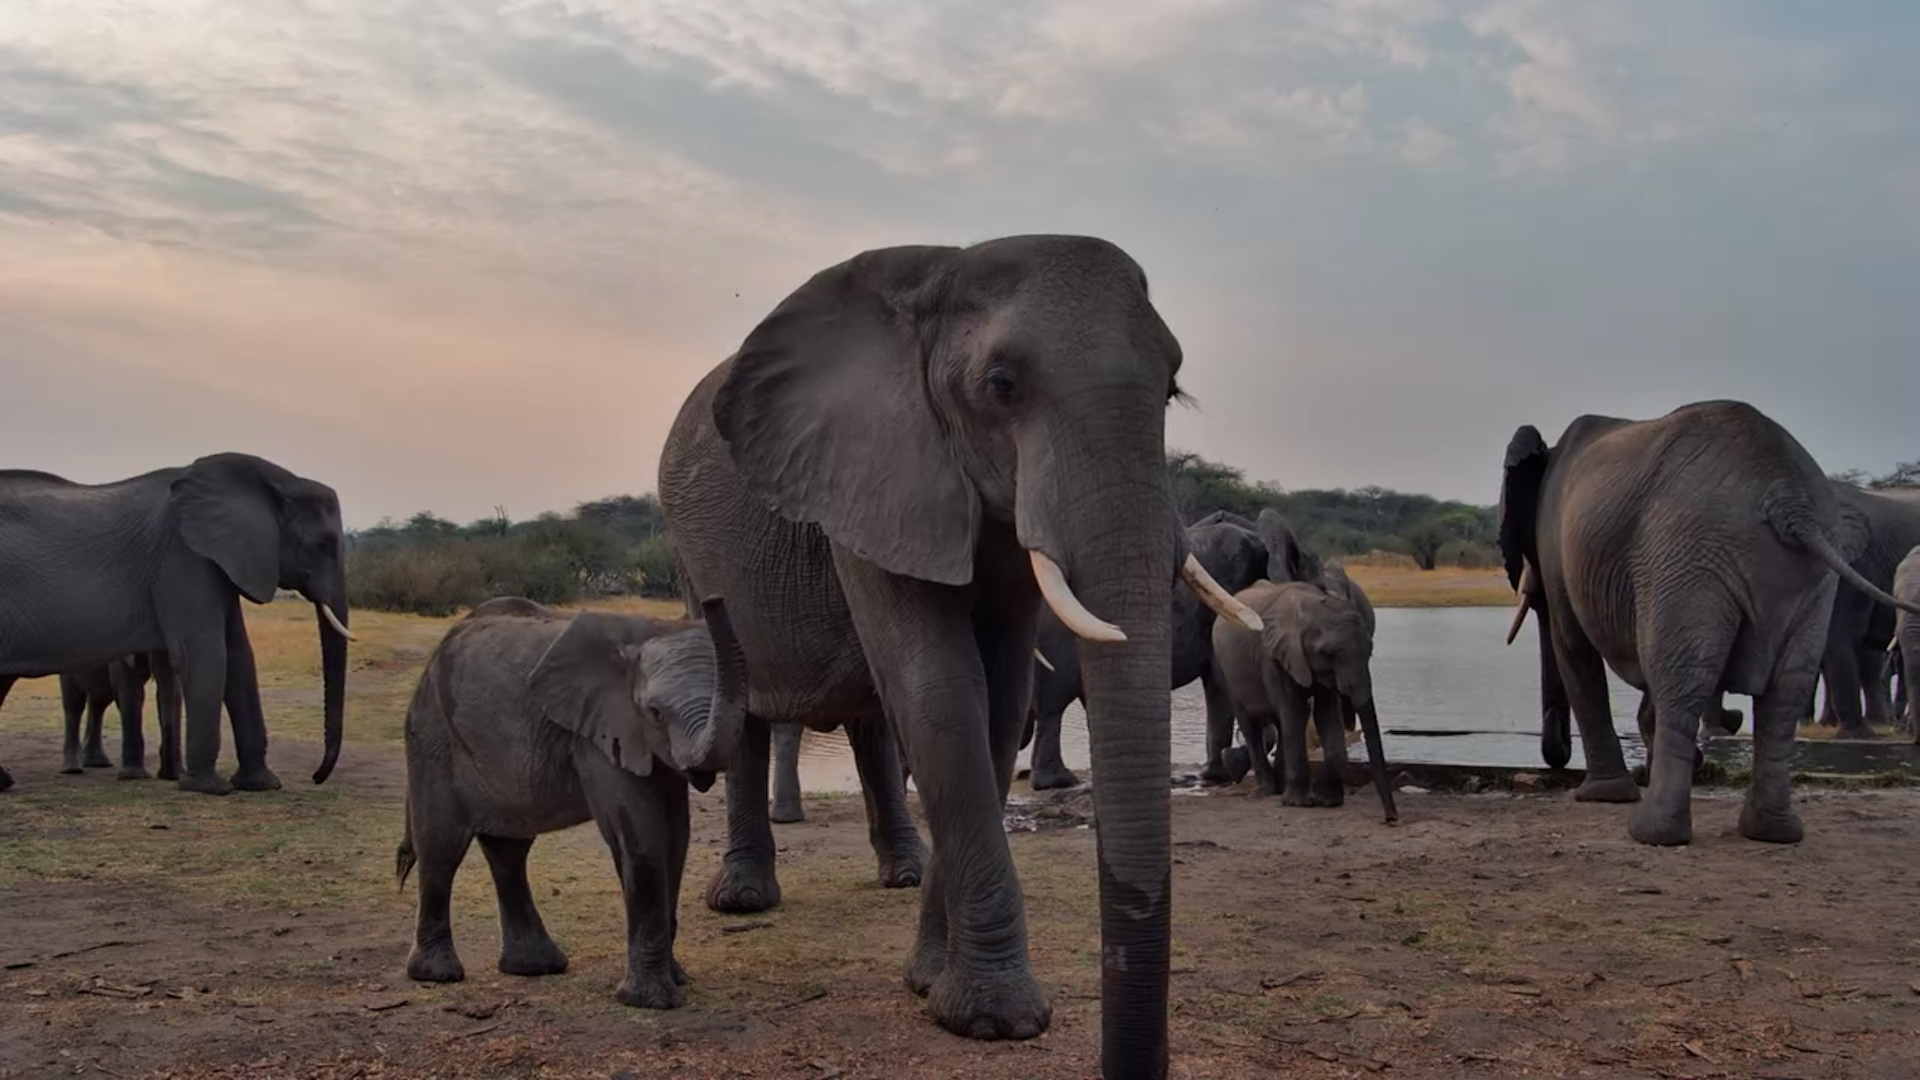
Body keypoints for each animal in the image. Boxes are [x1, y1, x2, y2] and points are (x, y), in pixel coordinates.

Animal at [0, 453, 352, 796]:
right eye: (322, 544)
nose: (316, 777)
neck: (274, 480)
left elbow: (239, 655)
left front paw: (262, 785)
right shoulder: (183, 558)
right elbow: (206, 652)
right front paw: (208, 788)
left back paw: (4, 782)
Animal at [397, 595, 746, 1008]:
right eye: (656, 713)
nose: (712, 600)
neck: (645, 634)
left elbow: (676, 839)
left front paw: (677, 980)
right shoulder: (599, 736)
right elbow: (642, 838)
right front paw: (651, 1001)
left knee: (508, 851)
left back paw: (535, 967)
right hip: (433, 738)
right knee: (441, 848)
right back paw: (438, 975)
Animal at [658, 235, 1260, 1074]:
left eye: (1171, 388)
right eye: (1002, 387)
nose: (1129, 1064)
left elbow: (997, 702)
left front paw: (928, 982)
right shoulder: (870, 477)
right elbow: (940, 691)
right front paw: (993, 1019)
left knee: (873, 721)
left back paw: (901, 874)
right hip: (692, 557)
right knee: (744, 699)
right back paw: (745, 899)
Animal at [1209, 578, 1397, 821]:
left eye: (1370, 651)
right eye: (1328, 653)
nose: (1391, 818)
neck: (1309, 604)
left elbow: (1326, 714)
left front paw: (1328, 801)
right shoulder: (1273, 656)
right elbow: (1294, 710)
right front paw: (1298, 803)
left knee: (1280, 724)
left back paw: (1280, 788)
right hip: (1225, 669)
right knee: (1251, 726)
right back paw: (1267, 790)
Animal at [1500, 399, 1920, 847]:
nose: (1557, 754)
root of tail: (1787, 500)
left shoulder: (1560, 543)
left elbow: (1572, 644)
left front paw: (1602, 796)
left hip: (1687, 551)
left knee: (1683, 676)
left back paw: (1652, 833)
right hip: (1797, 569)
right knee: (1785, 688)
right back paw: (1771, 832)